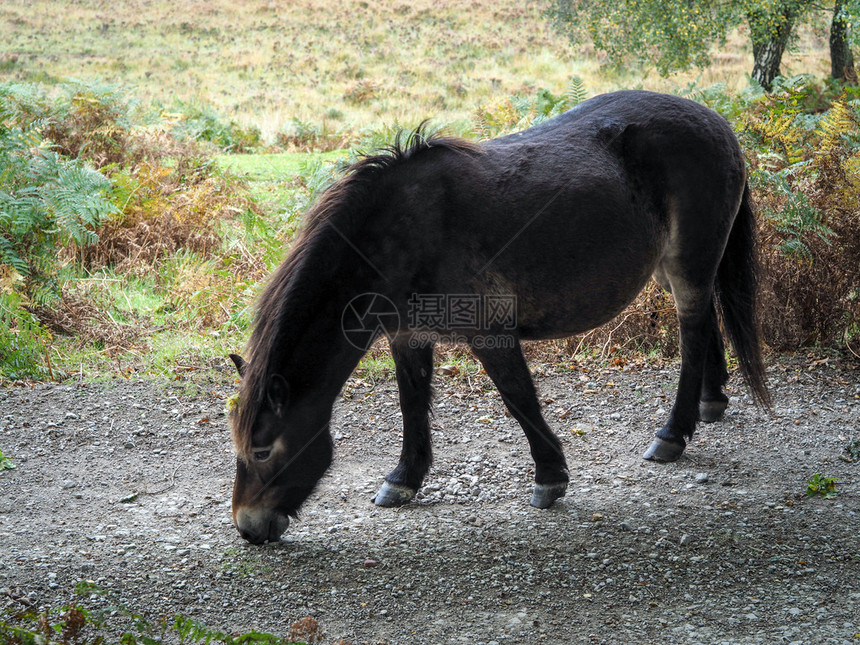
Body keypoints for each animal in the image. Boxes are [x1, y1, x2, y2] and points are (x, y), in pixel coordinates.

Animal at [225, 90, 768, 544]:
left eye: (262, 449)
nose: (248, 528)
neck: (404, 233)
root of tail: (717, 122)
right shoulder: (408, 336)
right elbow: (412, 405)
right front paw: (404, 479)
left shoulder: (489, 333)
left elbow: (517, 398)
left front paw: (550, 478)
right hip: (669, 269)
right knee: (706, 324)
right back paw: (710, 403)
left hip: (688, 263)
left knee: (693, 333)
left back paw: (672, 435)